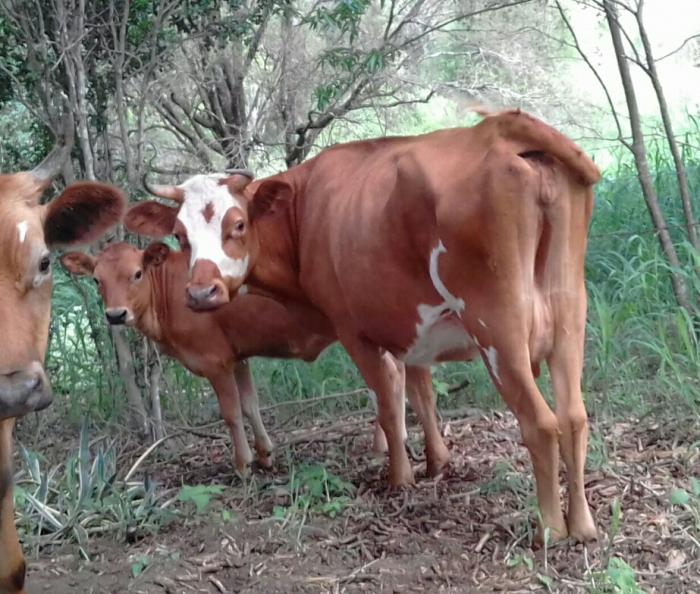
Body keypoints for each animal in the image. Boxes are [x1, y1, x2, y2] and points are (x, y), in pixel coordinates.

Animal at [60, 242, 445, 474]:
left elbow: (230, 413)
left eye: (137, 273)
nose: (115, 315)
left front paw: (242, 463)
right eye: (97, 280)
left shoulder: (214, 360)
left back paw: (386, 445)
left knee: (390, 377)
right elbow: (250, 405)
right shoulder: (238, 355)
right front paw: (264, 453)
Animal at [125, 109, 599, 543]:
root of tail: (498, 128)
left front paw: (399, 477)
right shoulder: (410, 331)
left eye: (237, 224)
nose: (201, 294)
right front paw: (436, 462)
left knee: (541, 423)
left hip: (498, 331)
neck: (304, 211)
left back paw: (551, 528)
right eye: (180, 236)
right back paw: (583, 526)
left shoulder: (353, 330)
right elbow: (419, 396)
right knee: (574, 417)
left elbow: (388, 405)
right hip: (569, 318)